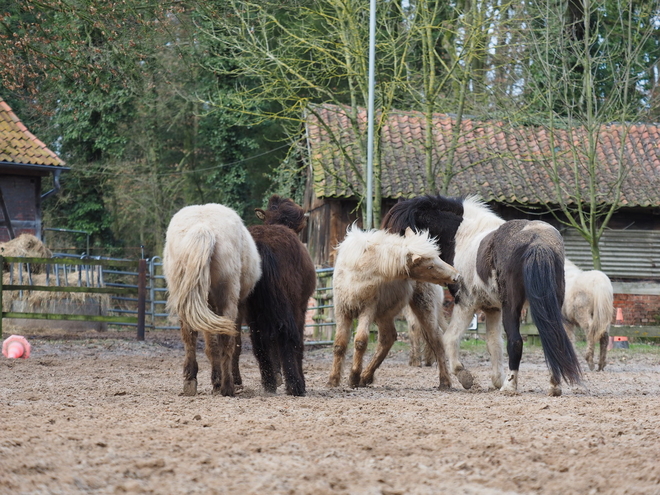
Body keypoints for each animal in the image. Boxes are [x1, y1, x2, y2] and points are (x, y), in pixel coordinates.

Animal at [162, 203, 260, 398]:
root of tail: (202, 229)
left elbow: (210, 344)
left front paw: (215, 380)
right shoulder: (238, 306)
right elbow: (232, 345)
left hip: (190, 301)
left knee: (190, 336)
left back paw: (191, 381)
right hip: (227, 299)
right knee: (226, 340)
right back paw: (227, 386)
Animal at [237, 196, 318, 398]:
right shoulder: (301, 306)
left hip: (251, 308)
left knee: (258, 341)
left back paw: (269, 383)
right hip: (287, 303)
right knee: (288, 335)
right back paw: (296, 385)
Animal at [382, 196, 584, 398]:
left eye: (399, 233)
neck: (462, 235)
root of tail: (537, 242)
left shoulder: (465, 304)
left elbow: (450, 338)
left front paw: (465, 376)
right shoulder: (492, 309)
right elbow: (494, 344)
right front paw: (496, 380)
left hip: (513, 306)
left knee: (516, 341)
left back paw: (510, 386)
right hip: (546, 305)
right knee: (554, 338)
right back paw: (553, 386)